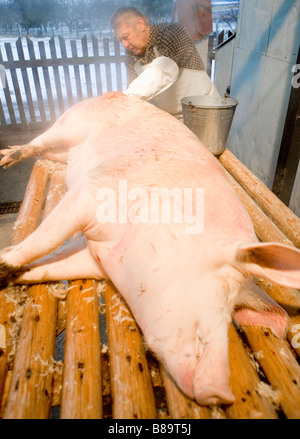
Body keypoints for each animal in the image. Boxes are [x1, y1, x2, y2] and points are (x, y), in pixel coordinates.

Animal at [0, 92, 300, 406]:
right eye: (225, 283)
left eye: (233, 309)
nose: (222, 393)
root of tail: (120, 93)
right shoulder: (90, 193)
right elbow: (44, 239)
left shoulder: (94, 257)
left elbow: (46, 266)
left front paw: (13, 271)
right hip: (71, 122)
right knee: (40, 140)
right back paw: (7, 158)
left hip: (65, 151)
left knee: (50, 152)